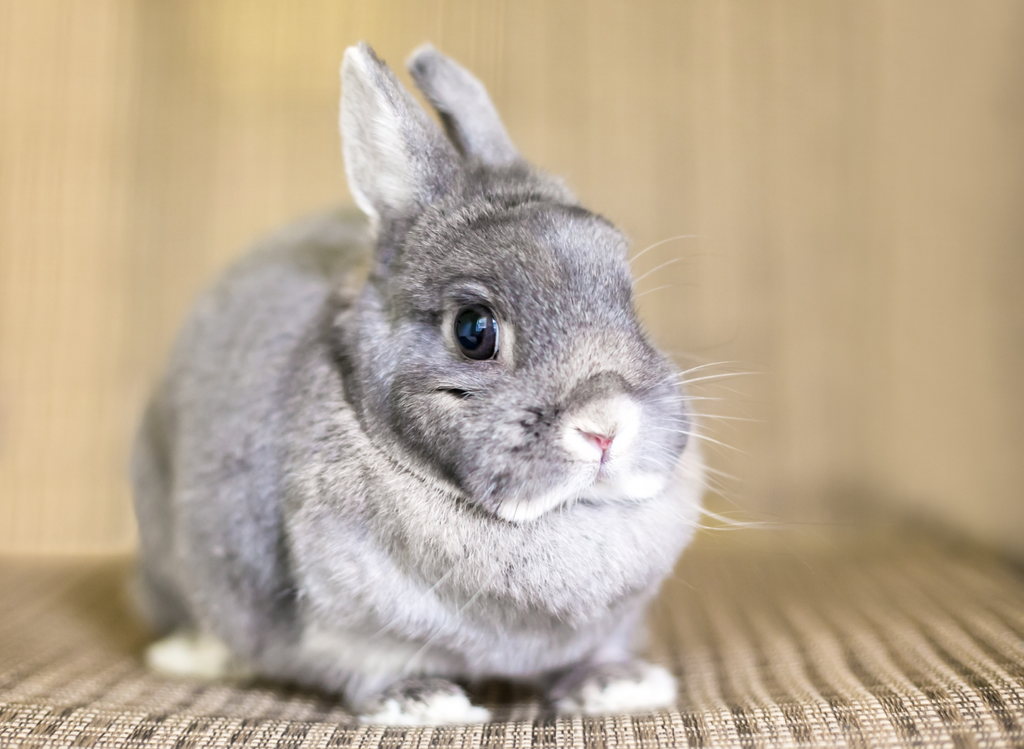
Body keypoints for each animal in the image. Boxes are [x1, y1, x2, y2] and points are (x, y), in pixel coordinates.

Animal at [134, 42, 704, 725]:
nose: (606, 425)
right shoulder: (343, 630)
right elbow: (367, 668)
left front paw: (620, 686)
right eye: (474, 329)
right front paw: (425, 703)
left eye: (628, 298)